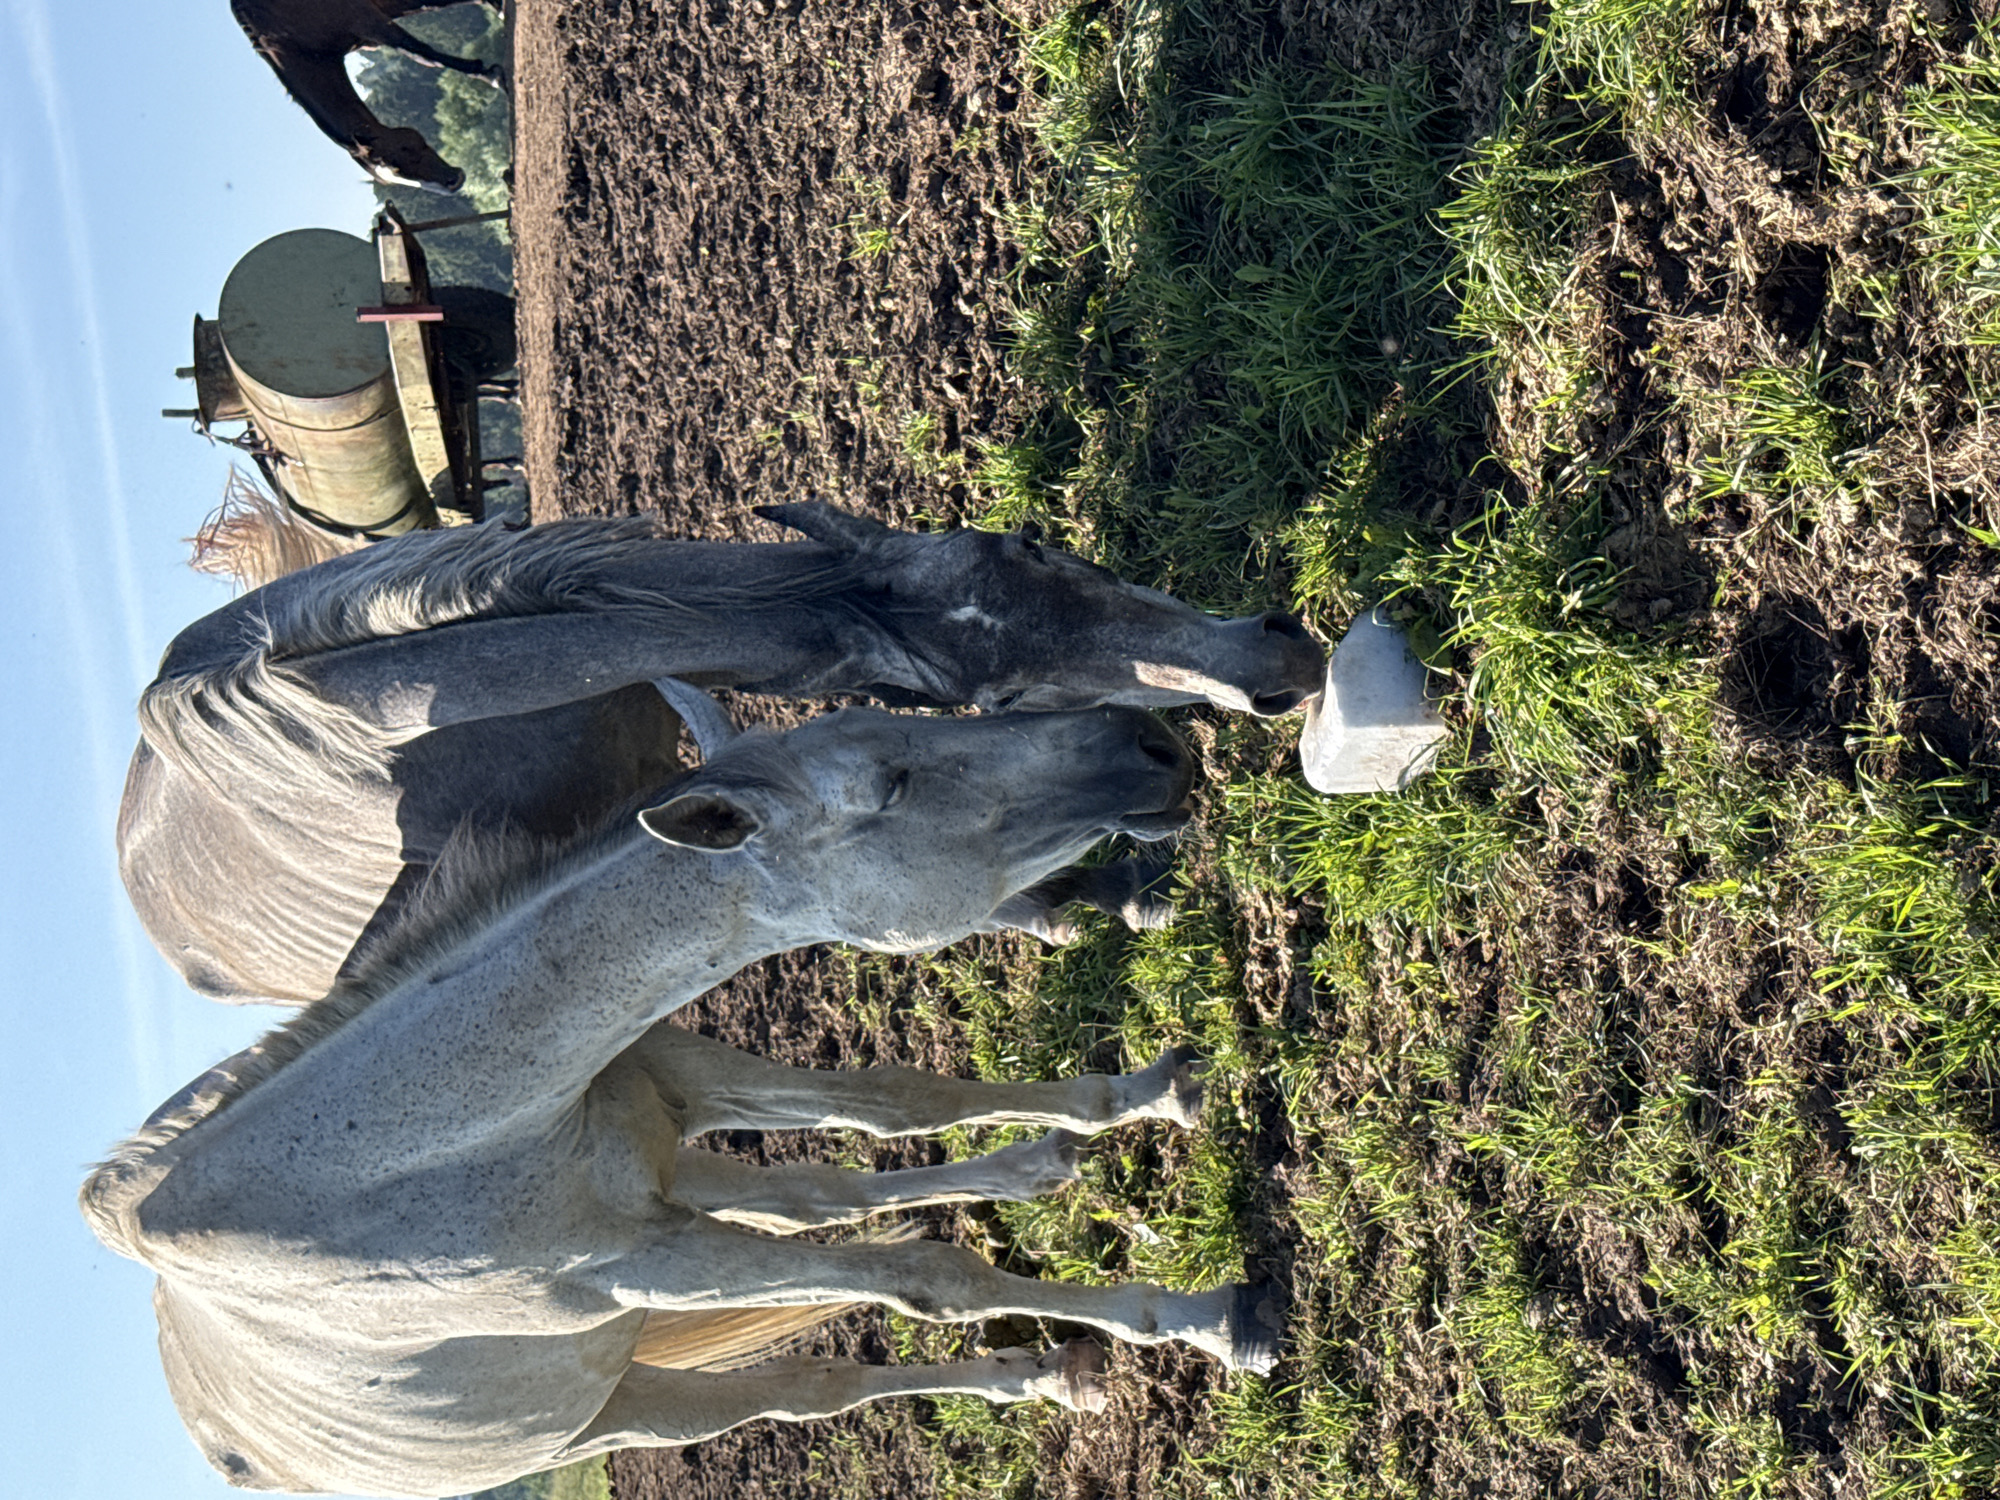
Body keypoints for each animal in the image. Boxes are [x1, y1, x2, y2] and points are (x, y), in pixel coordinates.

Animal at [84, 702, 1282, 1497]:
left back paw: (1040, 1248)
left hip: (677, 1174)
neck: (404, 1153)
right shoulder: (646, 1263)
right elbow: (929, 1280)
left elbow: (892, 1100)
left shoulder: (672, 1077)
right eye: (890, 781)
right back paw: (1048, 1355)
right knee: (812, 1383)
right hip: (616, 1410)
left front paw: (1149, 1093)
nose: (1151, 742)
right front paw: (1200, 1318)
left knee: (823, 1198)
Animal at [231, 0, 503, 191]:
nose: (454, 182)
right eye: (395, 173)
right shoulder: (371, 28)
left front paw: (491, 75)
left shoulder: (367, 20)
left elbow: (422, 54)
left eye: (402, 151)